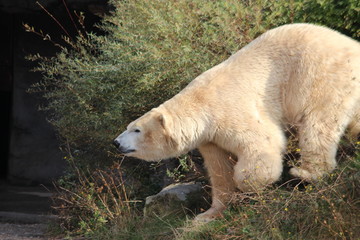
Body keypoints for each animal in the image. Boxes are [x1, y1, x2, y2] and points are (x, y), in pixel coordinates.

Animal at [113, 23, 360, 221]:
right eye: (128, 128)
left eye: (136, 129)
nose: (116, 142)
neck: (201, 105)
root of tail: (352, 45)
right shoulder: (210, 139)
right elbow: (219, 170)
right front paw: (207, 215)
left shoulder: (228, 112)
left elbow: (262, 143)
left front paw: (250, 184)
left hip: (317, 74)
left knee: (318, 123)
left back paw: (306, 172)